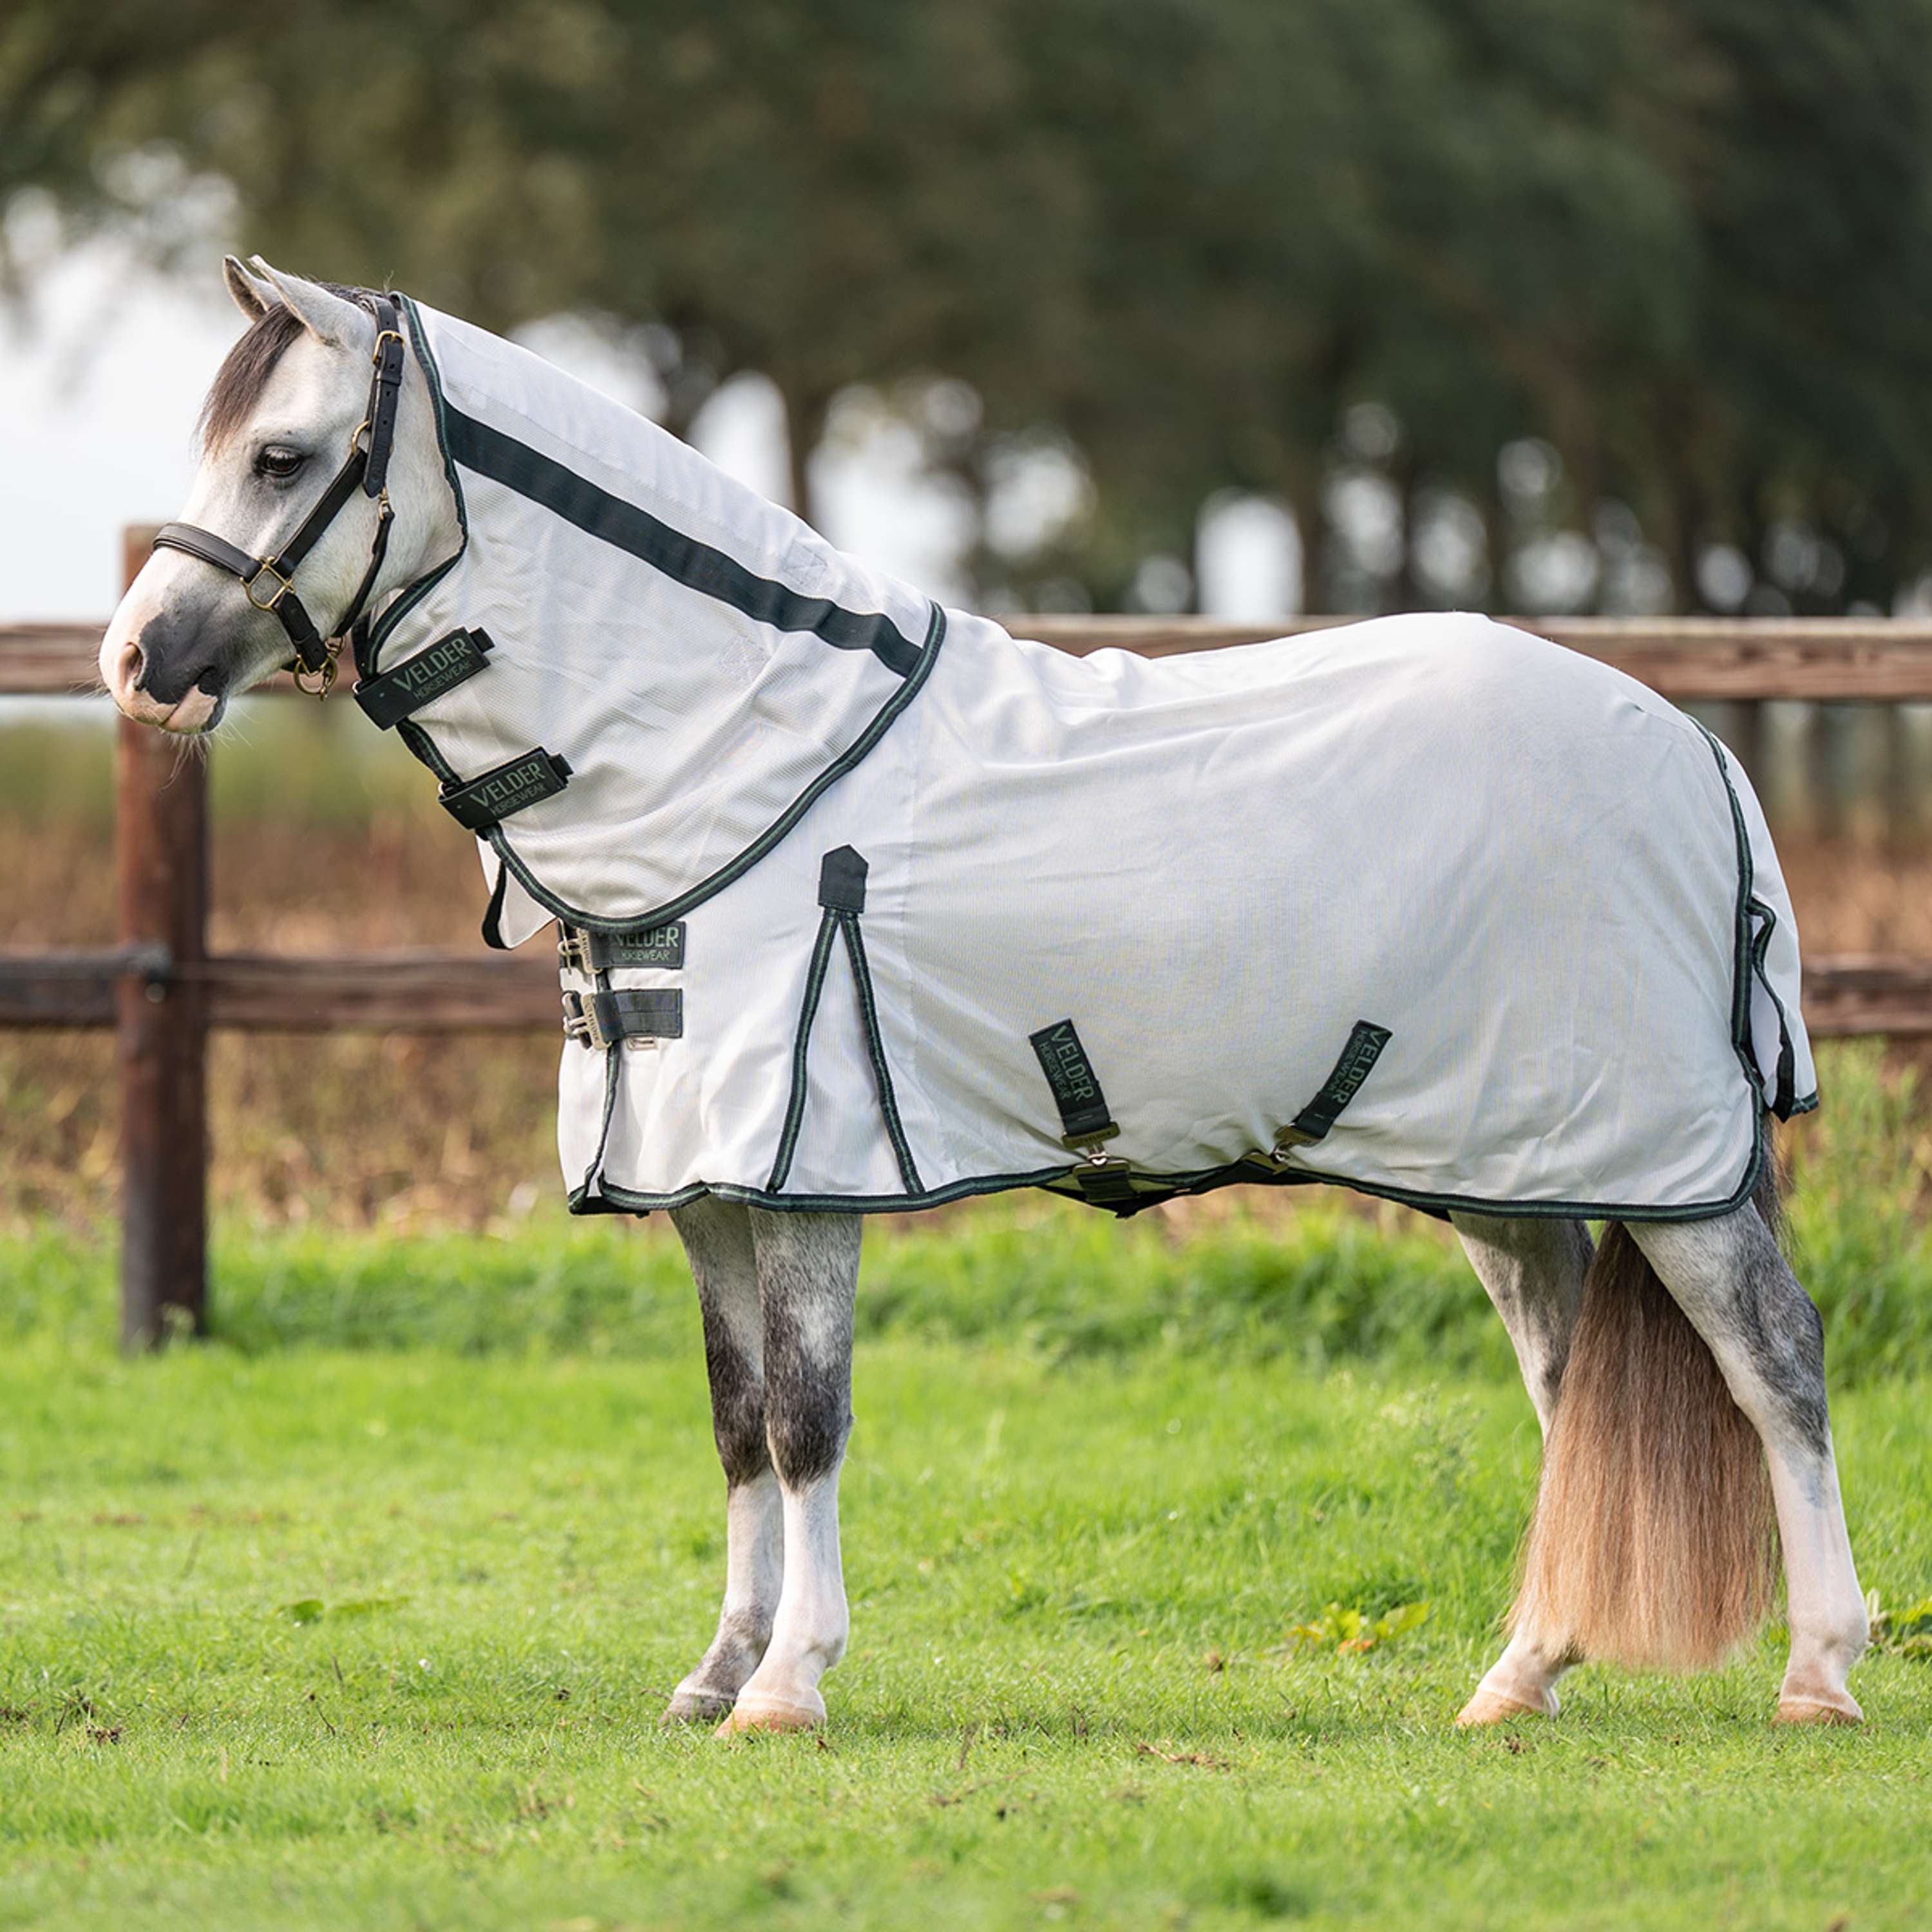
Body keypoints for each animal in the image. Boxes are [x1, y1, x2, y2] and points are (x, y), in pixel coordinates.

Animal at [99, 256, 1869, 1735]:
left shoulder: (804, 1176)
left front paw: (788, 1686)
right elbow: (737, 1426)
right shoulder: (705, 1187)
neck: (740, 764)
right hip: (1513, 1170)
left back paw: (1817, 1673)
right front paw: (715, 1670)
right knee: (1573, 1395)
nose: (133, 664)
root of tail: (1690, 744)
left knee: (1774, 1365)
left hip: (1671, 1164)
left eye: (279, 457)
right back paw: (1519, 1677)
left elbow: (807, 1422)